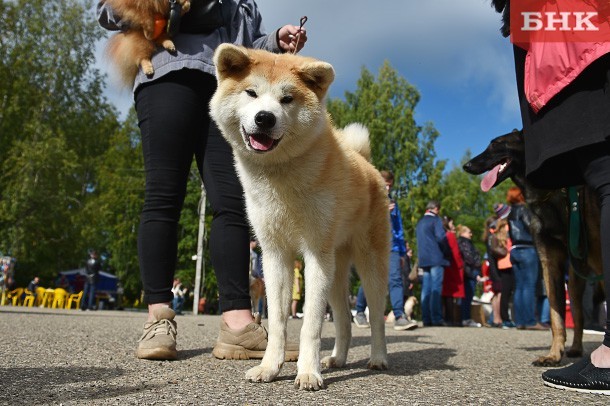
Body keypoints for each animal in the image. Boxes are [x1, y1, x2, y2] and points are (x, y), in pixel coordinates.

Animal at [209, 44, 390, 390]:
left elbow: (311, 324)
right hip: (335, 269)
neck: (279, 177)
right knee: (344, 320)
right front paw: (269, 367)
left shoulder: (315, 254)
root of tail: (366, 163)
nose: (264, 118)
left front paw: (307, 372)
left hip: (368, 265)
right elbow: (279, 320)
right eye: (251, 93)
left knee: (375, 317)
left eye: (287, 99)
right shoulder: (275, 255)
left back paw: (378, 358)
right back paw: (337, 359)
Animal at [464, 131, 600, 368]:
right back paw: (575, 348)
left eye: (496, 144)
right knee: (579, 314)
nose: (467, 165)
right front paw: (554, 354)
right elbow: (556, 317)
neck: (550, 193)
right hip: (575, 278)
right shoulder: (550, 263)